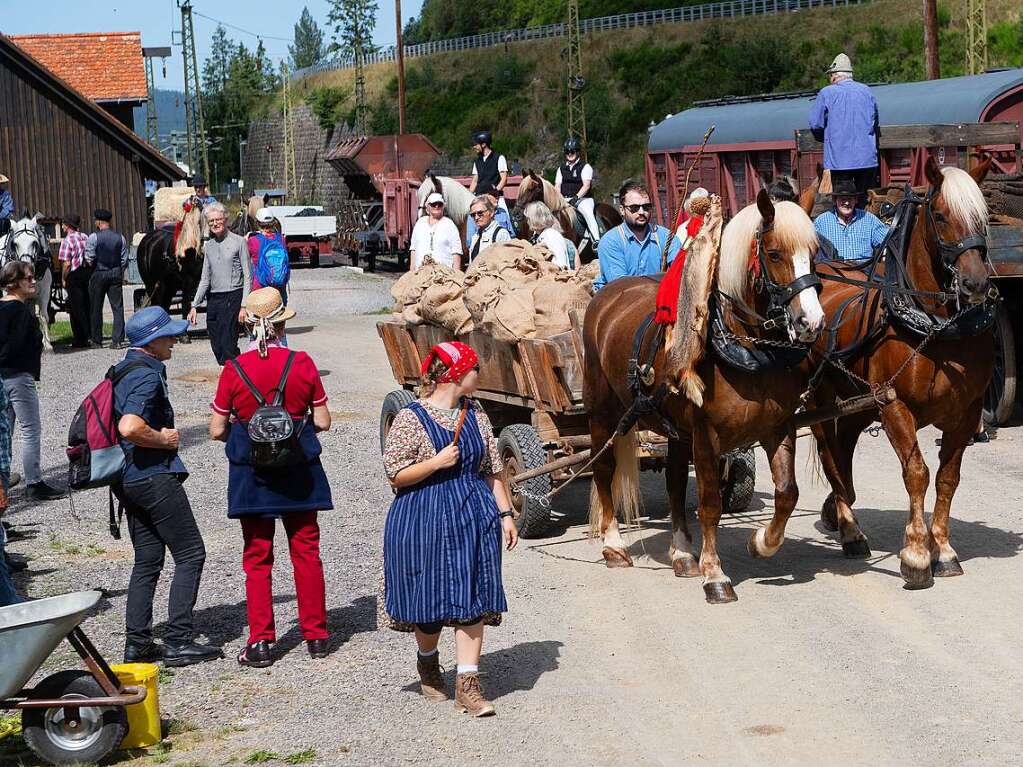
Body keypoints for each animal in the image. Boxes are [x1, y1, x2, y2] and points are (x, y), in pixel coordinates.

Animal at [0, 213, 52, 351]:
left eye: (34, 243)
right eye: (15, 244)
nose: (26, 266)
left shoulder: (45, 292)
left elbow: (43, 316)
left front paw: (47, 344)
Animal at [581, 192, 826, 605]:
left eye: (814, 251)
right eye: (774, 253)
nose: (812, 323)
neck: (747, 351)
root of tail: (609, 294)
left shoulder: (778, 428)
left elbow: (787, 493)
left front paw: (761, 542)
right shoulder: (707, 436)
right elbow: (710, 504)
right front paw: (715, 574)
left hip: (677, 430)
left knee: (676, 482)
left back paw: (682, 552)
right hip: (602, 413)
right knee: (603, 469)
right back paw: (613, 545)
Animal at [802, 154, 994, 589]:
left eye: (982, 216)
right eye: (940, 215)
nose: (975, 283)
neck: (935, 327)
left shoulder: (967, 412)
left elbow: (948, 478)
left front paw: (945, 551)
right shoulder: (895, 406)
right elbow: (917, 473)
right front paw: (917, 556)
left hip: (856, 403)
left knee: (844, 450)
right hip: (822, 398)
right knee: (830, 454)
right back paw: (851, 531)